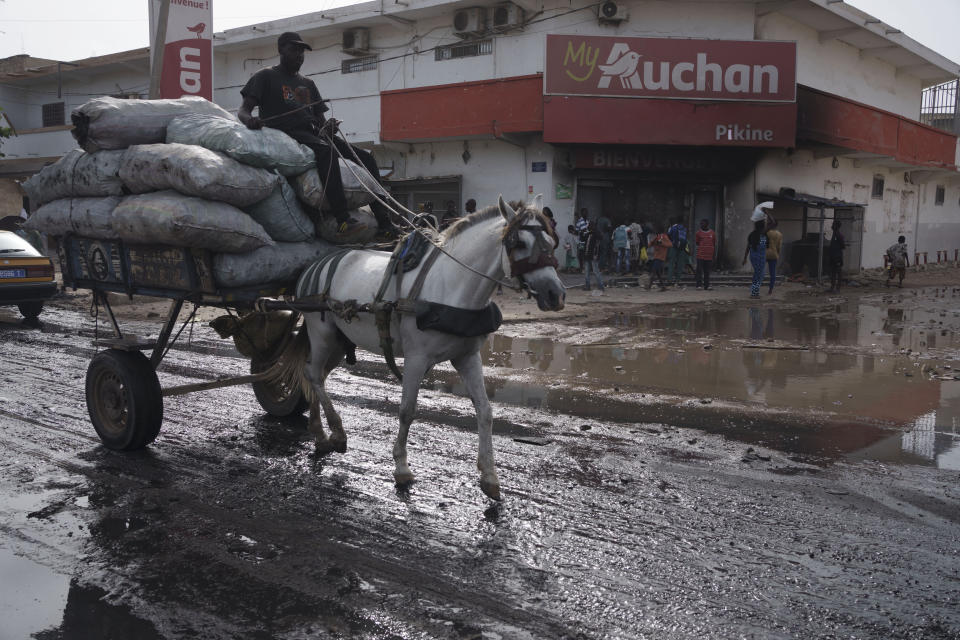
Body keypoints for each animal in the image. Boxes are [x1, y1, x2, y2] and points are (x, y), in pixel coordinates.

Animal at [282, 195, 568, 500]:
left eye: (552, 242)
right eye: (519, 243)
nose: (556, 294)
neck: (450, 285)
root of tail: (315, 264)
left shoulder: (467, 357)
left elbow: (485, 411)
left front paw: (489, 475)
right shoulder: (416, 359)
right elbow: (407, 411)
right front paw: (401, 468)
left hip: (339, 340)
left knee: (319, 376)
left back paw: (320, 433)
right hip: (320, 331)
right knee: (313, 374)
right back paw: (335, 431)